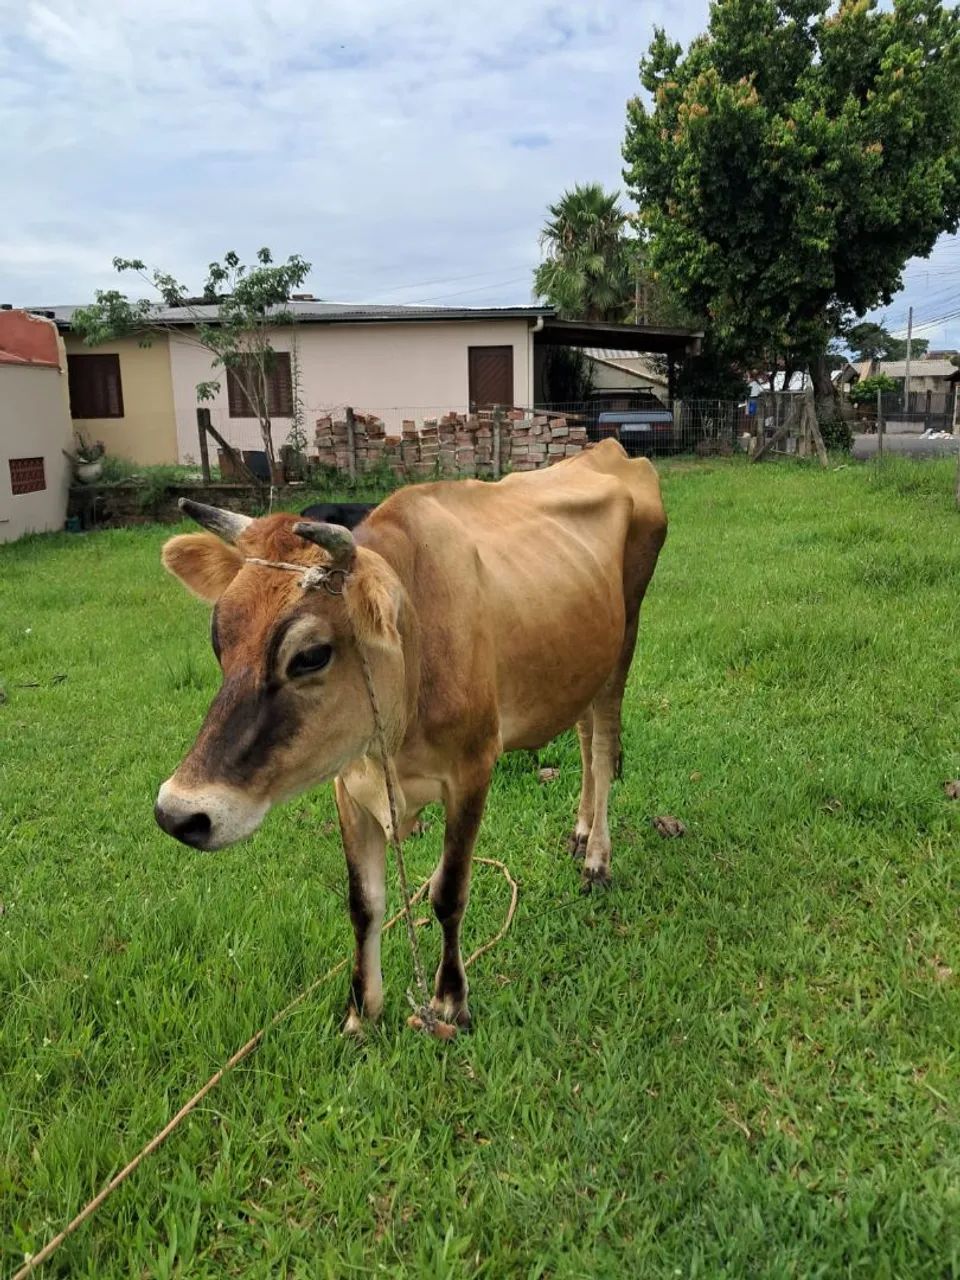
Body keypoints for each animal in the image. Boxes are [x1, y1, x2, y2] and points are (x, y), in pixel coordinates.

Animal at [154, 439, 667, 1032]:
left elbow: (448, 892)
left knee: (603, 749)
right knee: (584, 735)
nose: (178, 813)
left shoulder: (473, 770)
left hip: (625, 639)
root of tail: (609, 451)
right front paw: (362, 1011)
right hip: (583, 657)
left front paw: (450, 1001)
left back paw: (597, 859)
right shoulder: (348, 781)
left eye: (310, 655)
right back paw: (581, 831)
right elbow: (364, 901)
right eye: (219, 639)